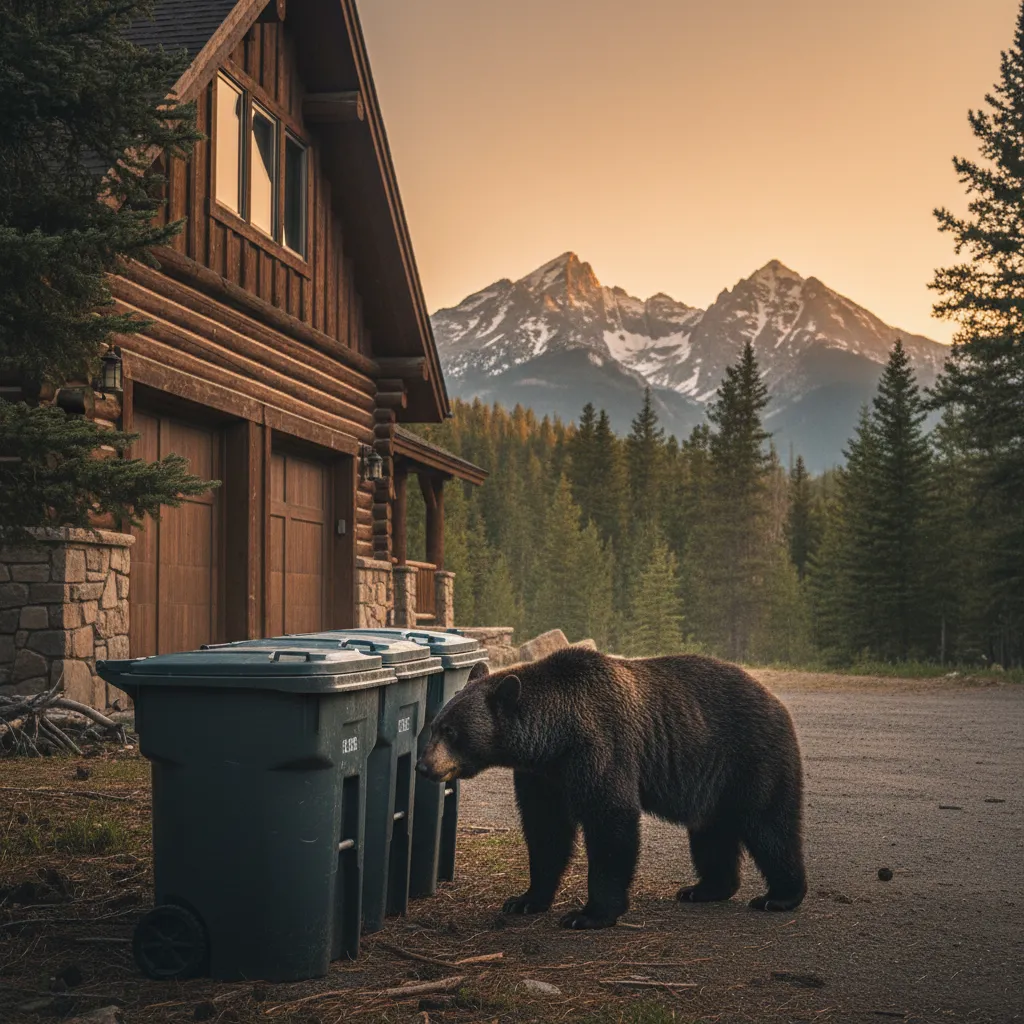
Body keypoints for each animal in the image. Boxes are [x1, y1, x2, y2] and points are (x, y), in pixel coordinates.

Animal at [416, 646, 807, 930]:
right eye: (433, 725)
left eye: (451, 731)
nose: (423, 766)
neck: (555, 737)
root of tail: (774, 699)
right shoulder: (542, 776)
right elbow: (546, 831)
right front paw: (525, 899)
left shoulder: (599, 747)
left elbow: (610, 820)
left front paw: (589, 914)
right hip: (712, 779)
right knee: (711, 832)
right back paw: (705, 888)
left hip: (751, 756)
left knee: (769, 825)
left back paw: (780, 895)